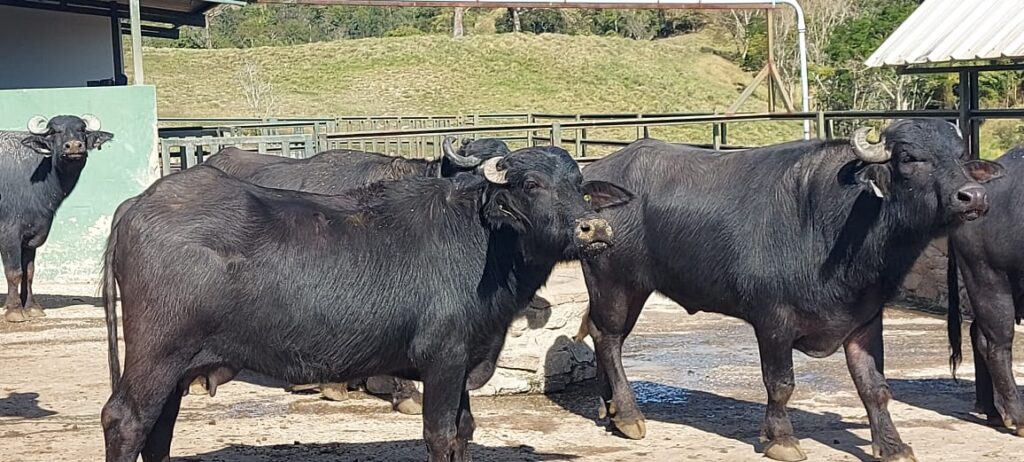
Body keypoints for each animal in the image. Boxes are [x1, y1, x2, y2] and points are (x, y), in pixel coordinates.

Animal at [0, 114, 114, 321]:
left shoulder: (32, 236)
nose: (74, 146)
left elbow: (29, 272)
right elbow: (14, 272)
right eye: (54, 131)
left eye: (81, 130)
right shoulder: (8, 235)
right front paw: (14, 310)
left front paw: (32, 307)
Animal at [101, 145, 630, 462]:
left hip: (177, 366)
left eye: (579, 185)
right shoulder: (443, 360)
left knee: (159, 428)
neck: (483, 240)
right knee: (125, 420)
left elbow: (464, 430)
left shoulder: (464, 362)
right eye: (530, 184)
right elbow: (439, 434)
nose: (594, 229)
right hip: (158, 353)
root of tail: (135, 205)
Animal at [581, 120, 1003, 462]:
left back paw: (609, 411)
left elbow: (874, 387)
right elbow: (780, 383)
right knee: (608, 337)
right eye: (910, 157)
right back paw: (630, 415)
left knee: (601, 333)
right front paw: (781, 439)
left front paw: (892, 445)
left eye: (961, 157)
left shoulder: (865, 319)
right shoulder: (772, 320)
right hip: (614, 281)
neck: (838, 225)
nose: (974, 197)